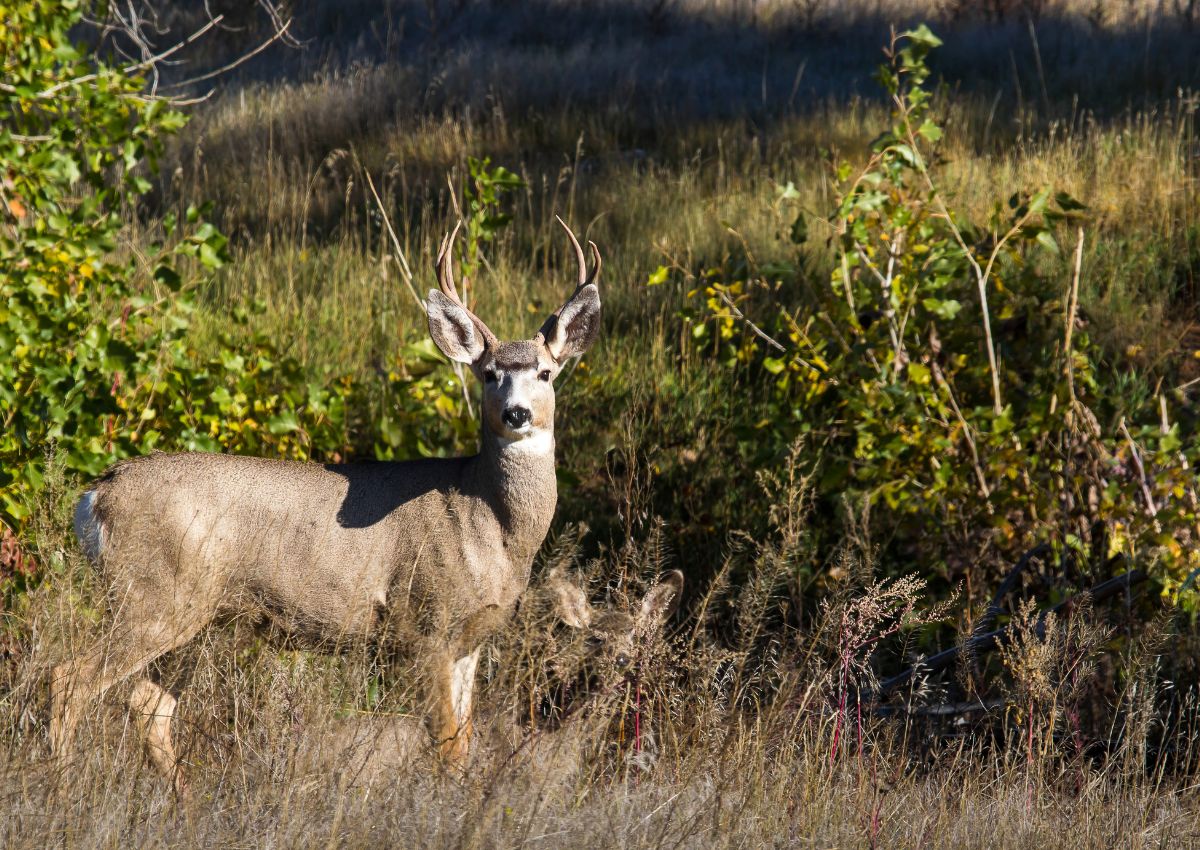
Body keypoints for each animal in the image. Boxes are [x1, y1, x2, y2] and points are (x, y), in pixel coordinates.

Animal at [51, 213, 604, 792]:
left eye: (545, 372)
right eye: (490, 373)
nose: (517, 413)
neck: (488, 522)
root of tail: (97, 495)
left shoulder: (469, 642)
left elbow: (466, 742)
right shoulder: (423, 622)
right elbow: (448, 749)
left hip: (191, 616)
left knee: (148, 704)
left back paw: (183, 796)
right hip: (149, 595)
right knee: (69, 678)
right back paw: (62, 784)